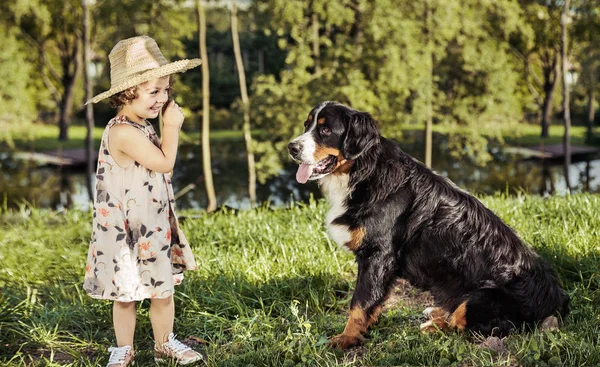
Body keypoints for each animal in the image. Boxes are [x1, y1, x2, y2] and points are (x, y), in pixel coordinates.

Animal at [288, 101, 568, 350]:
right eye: (306, 124)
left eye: (325, 130)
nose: (291, 147)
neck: (363, 173)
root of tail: (556, 298)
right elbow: (372, 301)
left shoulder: (377, 255)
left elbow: (359, 302)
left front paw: (347, 338)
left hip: (480, 298)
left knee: (471, 325)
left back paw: (436, 324)